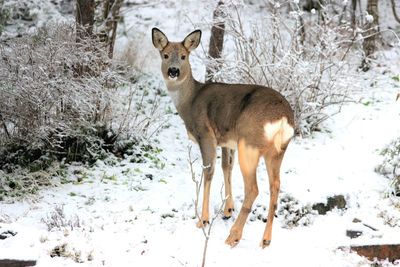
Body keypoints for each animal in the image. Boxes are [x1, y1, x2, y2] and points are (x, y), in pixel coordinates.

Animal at [152, 27, 296, 249]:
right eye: (165, 55)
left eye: (184, 56)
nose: (173, 71)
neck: (189, 102)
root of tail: (282, 119)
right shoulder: (228, 141)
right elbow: (226, 168)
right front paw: (228, 209)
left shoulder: (206, 134)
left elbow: (208, 172)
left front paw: (203, 219)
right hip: (277, 150)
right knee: (275, 186)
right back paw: (265, 239)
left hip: (250, 143)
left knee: (253, 189)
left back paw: (233, 236)